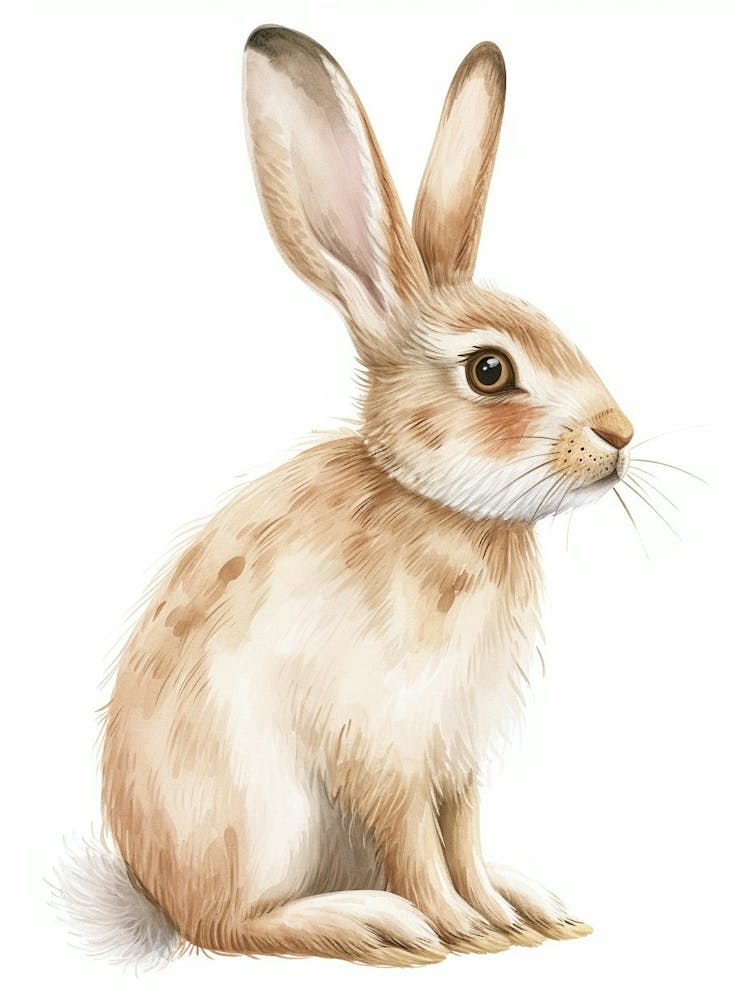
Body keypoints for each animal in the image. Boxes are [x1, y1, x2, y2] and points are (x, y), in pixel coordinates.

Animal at [83, 24, 635, 968]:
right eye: (490, 371)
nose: (620, 434)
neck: (439, 509)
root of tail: (157, 881)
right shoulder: (384, 750)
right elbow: (417, 846)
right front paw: (459, 930)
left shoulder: (456, 758)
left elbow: (462, 839)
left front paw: (501, 917)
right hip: (267, 814)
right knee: (231, 925)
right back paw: (374, 922)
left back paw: (531, 900)